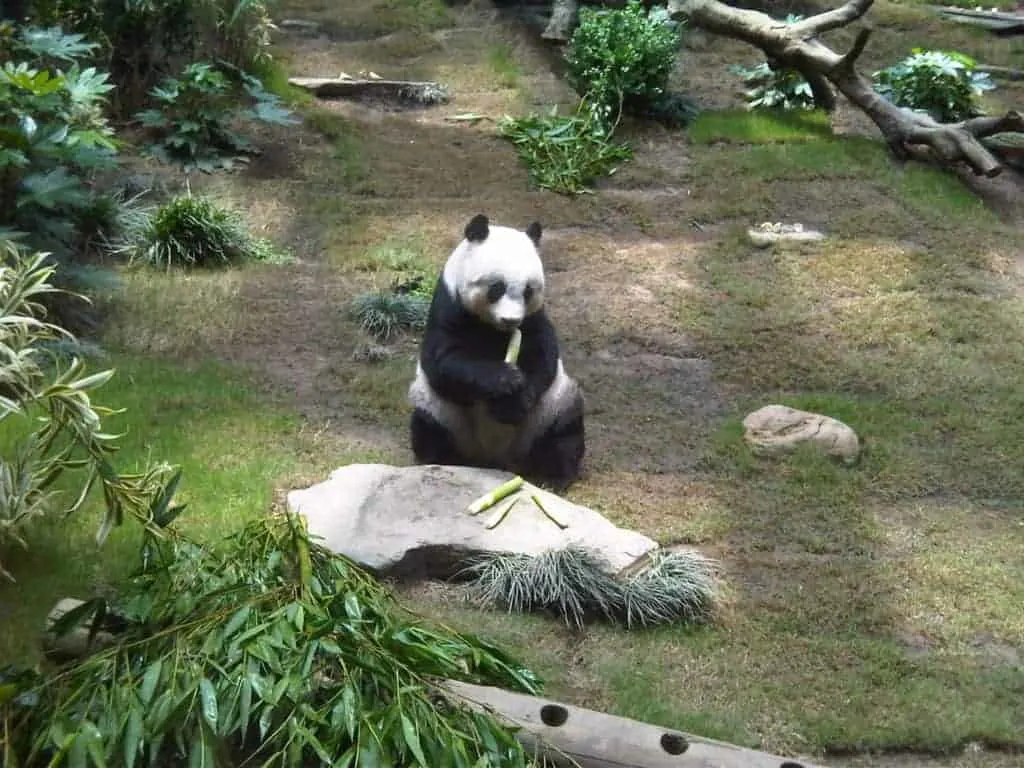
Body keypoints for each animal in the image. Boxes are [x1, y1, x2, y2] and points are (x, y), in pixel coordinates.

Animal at [405, 214, 585, 489]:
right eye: (497, 287)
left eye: (528, 290)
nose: (510, 320)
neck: (493, 328)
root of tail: (496, 459)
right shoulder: (449, 306)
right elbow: (443, 362)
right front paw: (505, 379)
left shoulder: (533, 318)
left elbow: (543, 354)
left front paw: (512, 402)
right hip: (443, 413)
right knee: (429, 427)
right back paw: (441, 464)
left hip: (548, 409)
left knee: (564, 430)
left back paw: (553, 477)